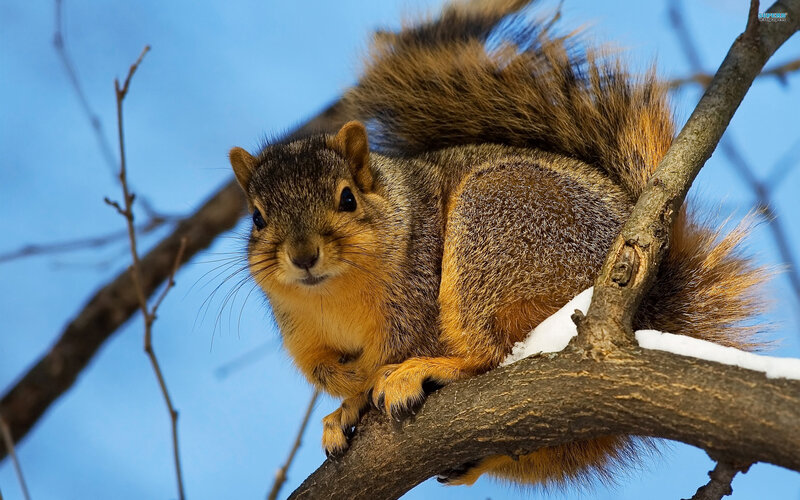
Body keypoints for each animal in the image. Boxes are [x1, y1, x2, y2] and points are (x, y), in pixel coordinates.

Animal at [227, 0, 765, 488]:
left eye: (347, 198)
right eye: (256, 217)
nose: (302, 256)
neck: (332, 299)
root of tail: (646, 305)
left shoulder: (417, 294)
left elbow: (398, 348)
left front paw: (365, 391)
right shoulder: (306, 337)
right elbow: (332, 371)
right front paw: (344, 406)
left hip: (495, 225)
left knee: (487, 353)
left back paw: (426, 372)